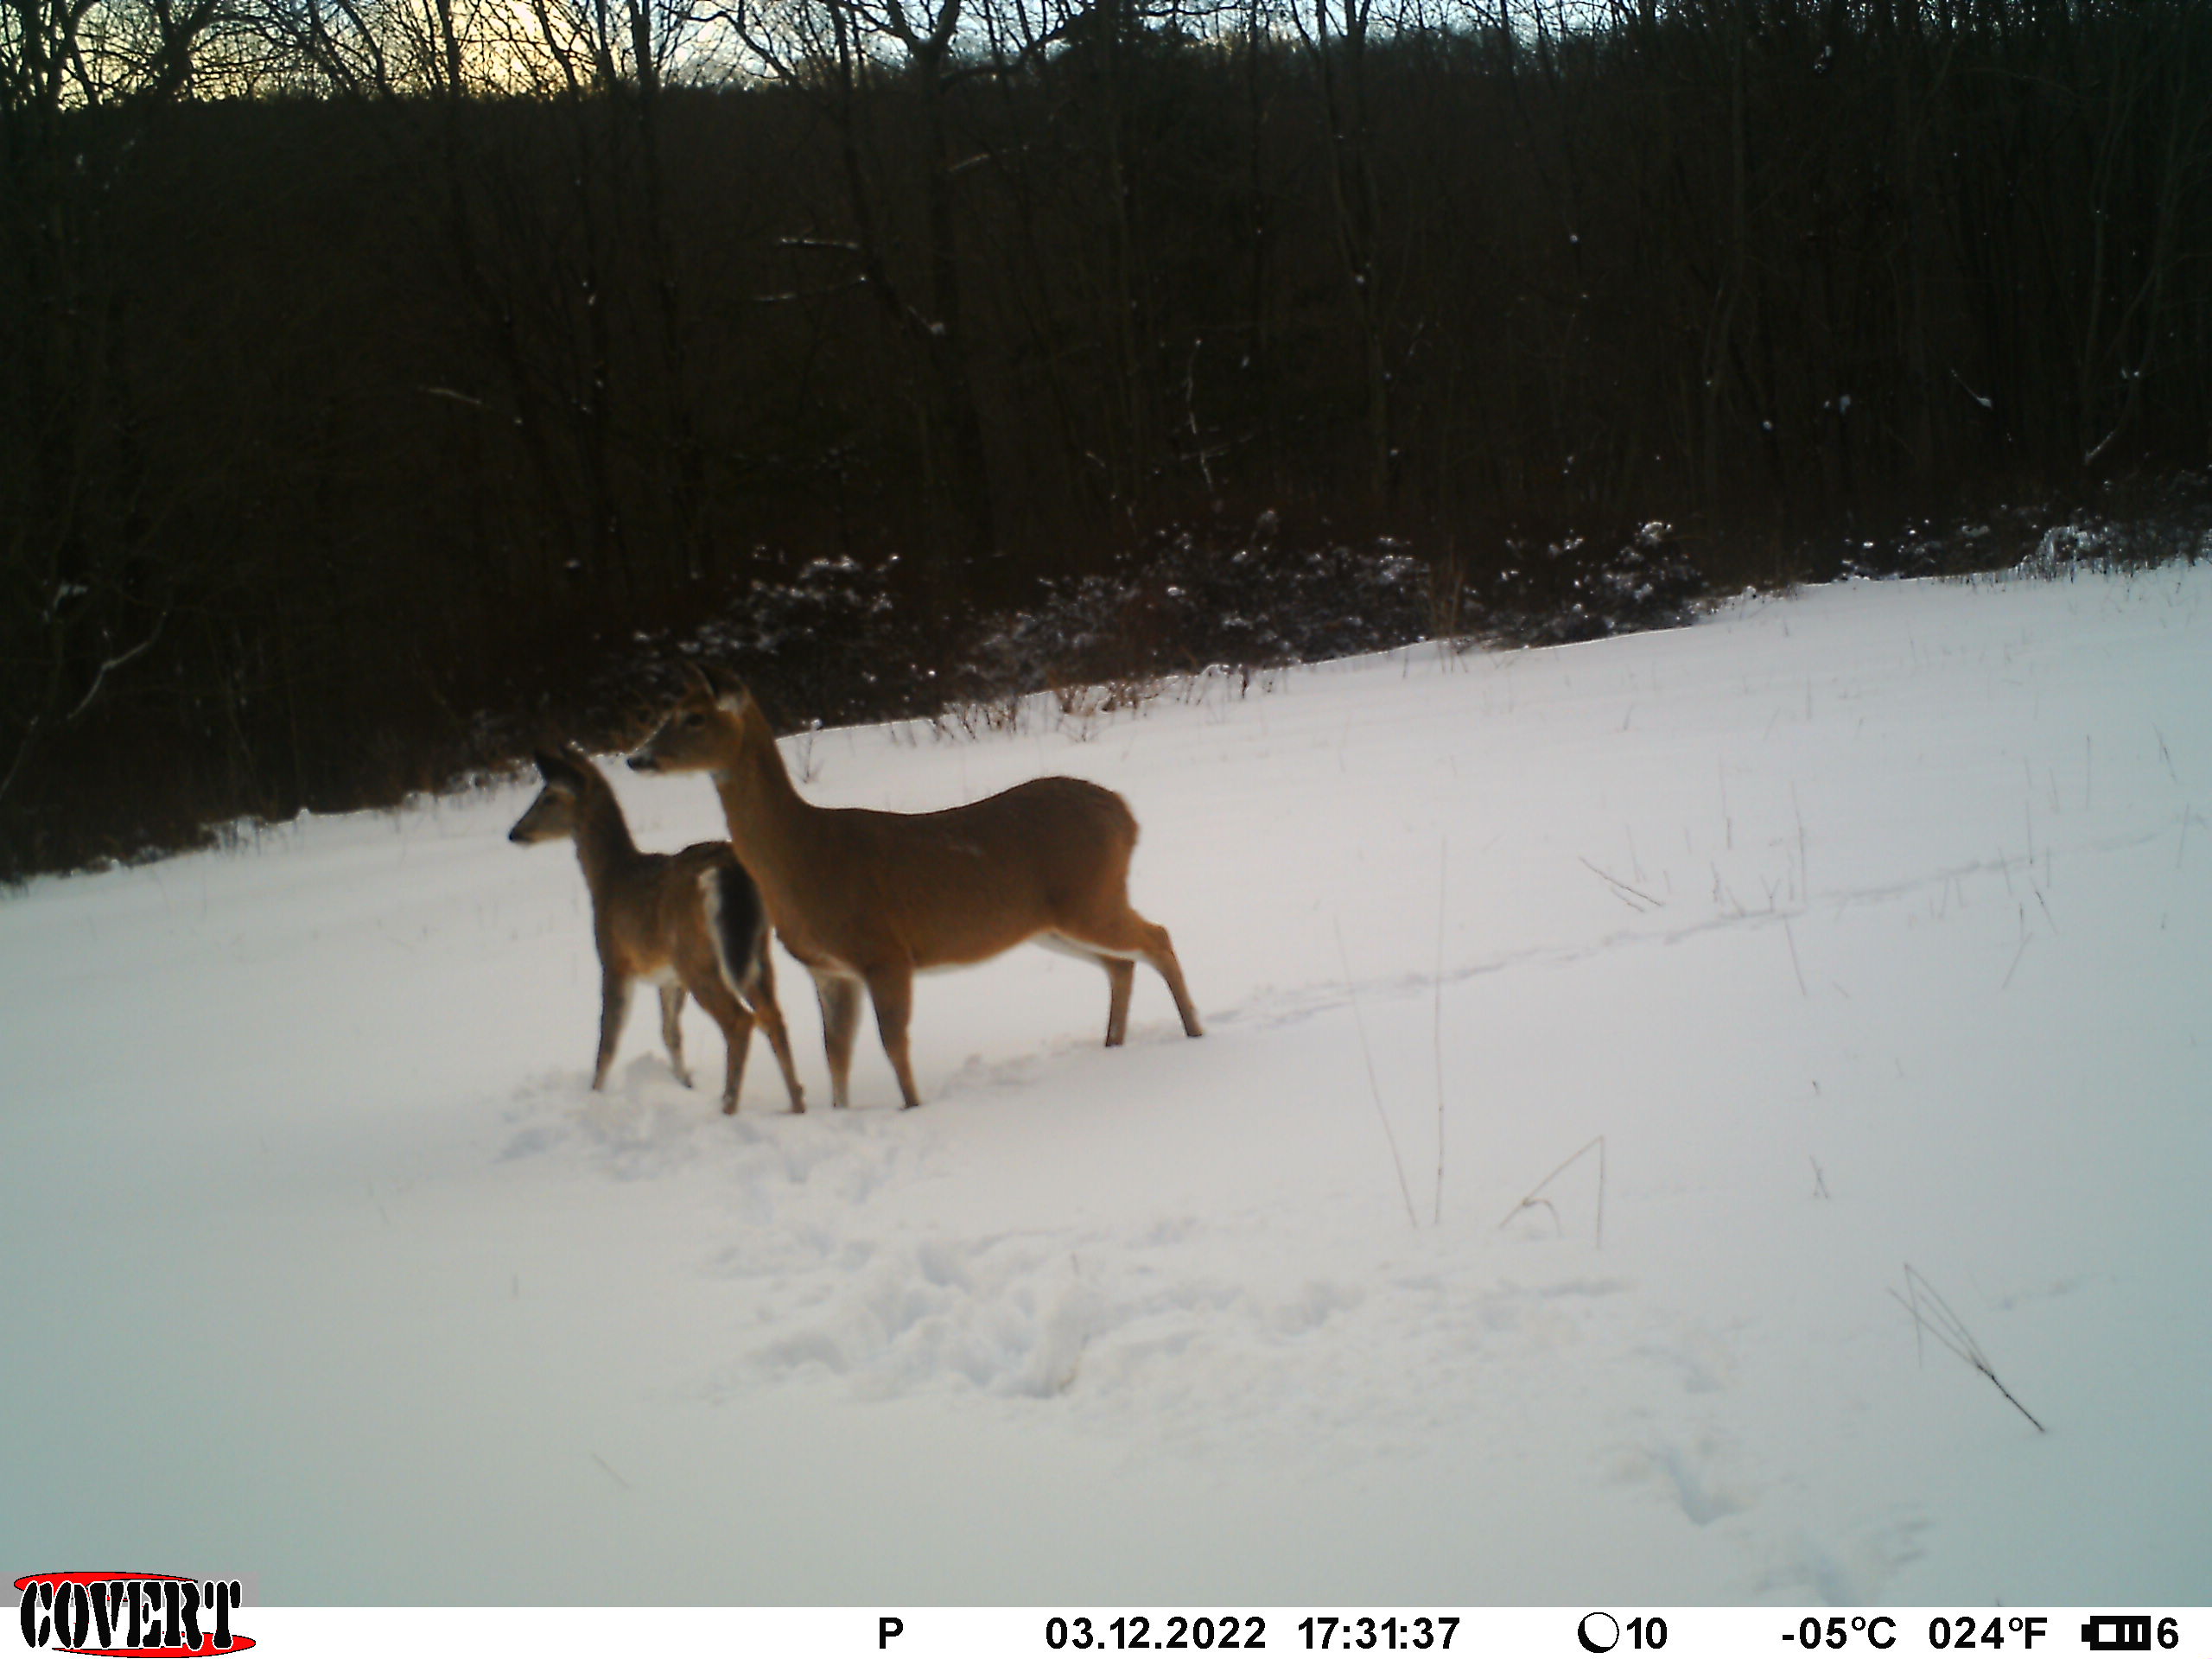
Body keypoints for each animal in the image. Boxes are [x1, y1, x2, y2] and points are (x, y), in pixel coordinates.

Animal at [506, 752, 809, 1119]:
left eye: (548, 797)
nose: (515, 833)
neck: (607, 879)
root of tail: (730, 871)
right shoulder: (668, 977)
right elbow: (670, 1033)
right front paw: (685, 1084)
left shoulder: (615, 960)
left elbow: (609, 1038)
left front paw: (594, 1095)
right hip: (754, 949)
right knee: (773, 1016)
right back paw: (796, 1104)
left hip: (696, 957)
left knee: (739, 1022)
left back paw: (727, 1107)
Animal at [632, 668, 1203, 1119]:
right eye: (667, 713)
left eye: (694, 717)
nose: (637, 759)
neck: (807, 857)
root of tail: (1126, 816)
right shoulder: (829, 968)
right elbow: (836, 1052)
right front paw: (840, 1114)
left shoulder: (884, 952)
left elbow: (892, 1044)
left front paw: (913, 1109)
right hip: (1053, 923)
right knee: (1121, 963)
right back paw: (1114, 1046)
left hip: (1090, 897)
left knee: (1157, 937)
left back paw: (1194, 1034)